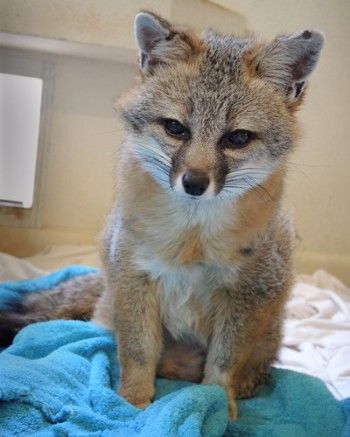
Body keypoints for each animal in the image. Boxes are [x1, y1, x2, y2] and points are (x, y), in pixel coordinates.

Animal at [0, 11, 322, 418]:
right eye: (175, 127)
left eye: (237, 138)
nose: (195, 183)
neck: (191, 240)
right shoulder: (134, 278)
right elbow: (138, 350)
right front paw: (133, 402)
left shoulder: (247, 293)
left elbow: (224, 362)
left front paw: (219, 405)